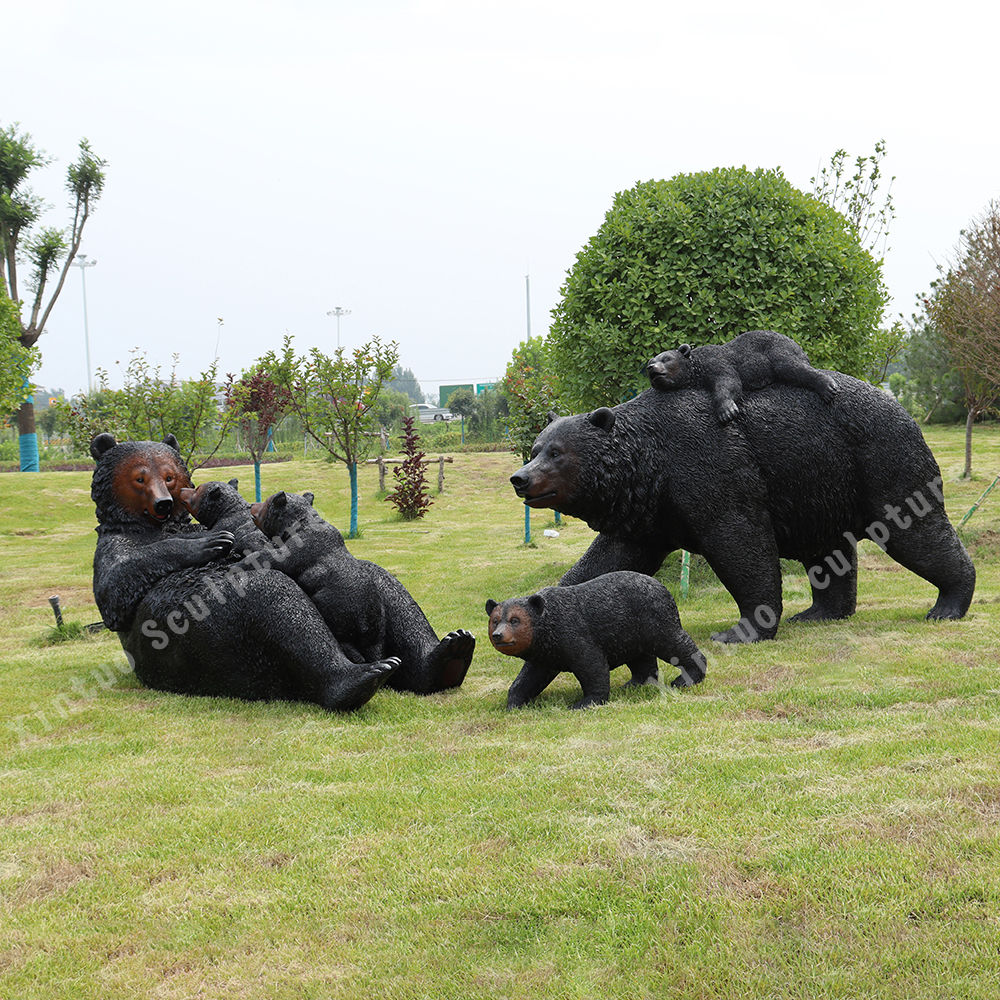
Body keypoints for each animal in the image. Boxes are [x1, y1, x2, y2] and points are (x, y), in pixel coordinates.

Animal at [90, 433, 399, 712]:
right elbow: (115, 591)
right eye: (139, 478)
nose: (168, 500)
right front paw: (207, 544)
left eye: (169, 477)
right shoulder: (117, 545)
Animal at [250, 489, 475, 695]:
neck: (300, 522)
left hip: (339, 611)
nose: (251, 504)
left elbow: (275, 558)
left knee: (344, 640)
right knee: (374, 646)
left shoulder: (300, 548)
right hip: (376, 624)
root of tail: (366, 621)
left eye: (266, 502)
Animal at [486, 571, 707, 709]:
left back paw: (686, 678)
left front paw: (585, 702)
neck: (548, 630)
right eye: (495, 621)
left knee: (671, 641)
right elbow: (531, 676)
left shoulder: (572, 633)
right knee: (641, 657)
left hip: (653, 618)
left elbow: (592, 664)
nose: (498, 635)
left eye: (515, 620)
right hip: (630, 630)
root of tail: (662, 586)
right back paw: (635, 683)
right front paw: (515, 702)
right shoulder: (545, 652)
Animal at [508, 376, 975, 643]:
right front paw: (546, 602)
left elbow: (740, 541)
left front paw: (741, 630)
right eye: (535, 448)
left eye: (557, 452)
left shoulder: (711, 465)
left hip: (880, 461)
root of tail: (903, 407)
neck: (648, 463)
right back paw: (819, 613)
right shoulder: (647, 513)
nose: (520, 478)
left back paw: (947, 605)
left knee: (915, 531)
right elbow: (608, 559)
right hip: (821, 486)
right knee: (828, 551)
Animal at [646, 330, 838, 423]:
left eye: (665, 359)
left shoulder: (716, 361)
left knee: (791, 367)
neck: (697, 366)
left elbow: (730, 382)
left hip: (778, 349)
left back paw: (827, 386)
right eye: (650, 361)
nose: (651, 367)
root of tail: (797, 344)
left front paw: (726, 411)